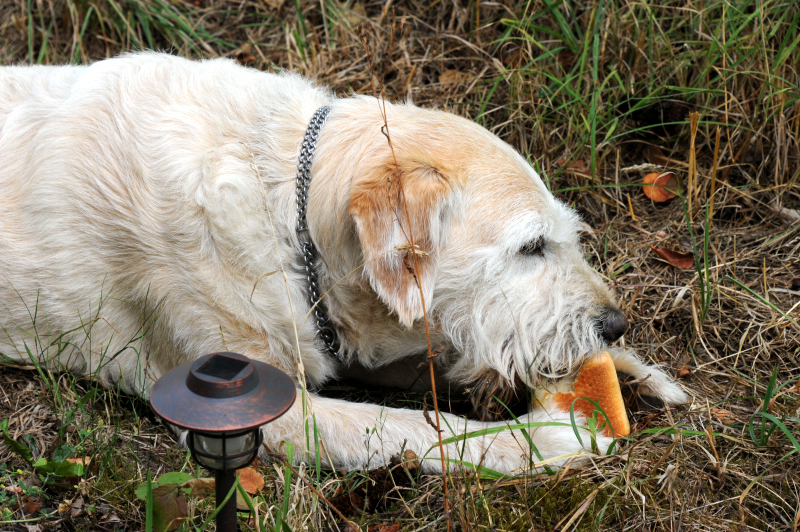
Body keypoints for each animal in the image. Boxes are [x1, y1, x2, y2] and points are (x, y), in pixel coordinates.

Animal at [0, 53, 688, 474]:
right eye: (531, 247)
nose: (615, 326)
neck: (286, 199)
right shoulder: (263, 412)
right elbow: (417, 430)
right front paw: (547, 437)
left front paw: (629, 373)